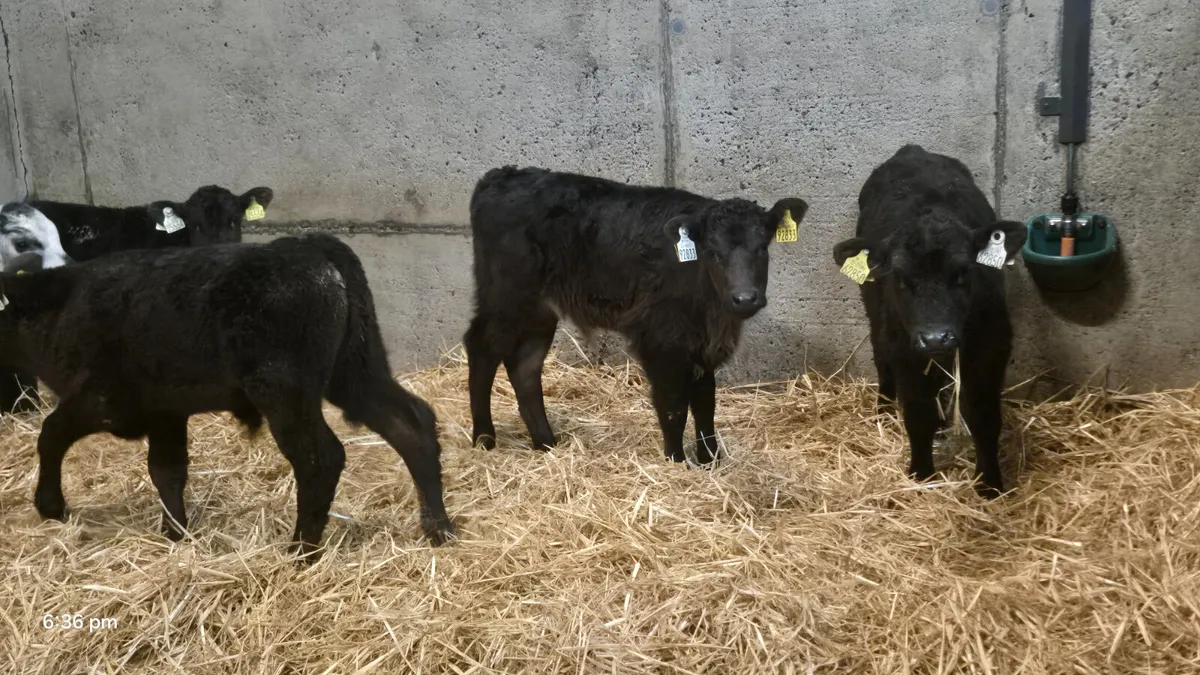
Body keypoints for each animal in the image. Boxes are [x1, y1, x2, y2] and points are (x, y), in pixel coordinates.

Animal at [0, 233, 453, 560]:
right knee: (410, 423)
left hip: (284, 389)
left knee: (320, 458)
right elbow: (167, 470)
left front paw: (51, 506)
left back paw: (301, 551)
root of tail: (310, 245)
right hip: (355, 370)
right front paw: (175, 533)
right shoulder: (165, 411)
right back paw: (438, 528)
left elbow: (50, 433)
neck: (61, 307)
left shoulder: (101, 400)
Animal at [465, 166, 808, 465]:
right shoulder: (659, 337)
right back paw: (484, 438)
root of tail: (501, 176)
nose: (744, 298)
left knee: (524, 364)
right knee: (481, 347)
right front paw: (677, 462)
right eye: (712, 251)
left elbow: (705, 404)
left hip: (539, 309)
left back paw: (546, 443)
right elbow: (673, 406)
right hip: (505, 296)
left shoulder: (701, 347)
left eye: (762, 247)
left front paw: (710, 460)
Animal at [832, 144, 1026, 497]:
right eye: (900, 276)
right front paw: (921, 474)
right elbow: (917, 413)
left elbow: (983, 415)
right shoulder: (904, 349)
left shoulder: (992, 345)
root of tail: (912, 150)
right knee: (881, 360)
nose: (936, 337)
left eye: (963, 272)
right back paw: (884, 410)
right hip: (876, 315)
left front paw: (989, 483)